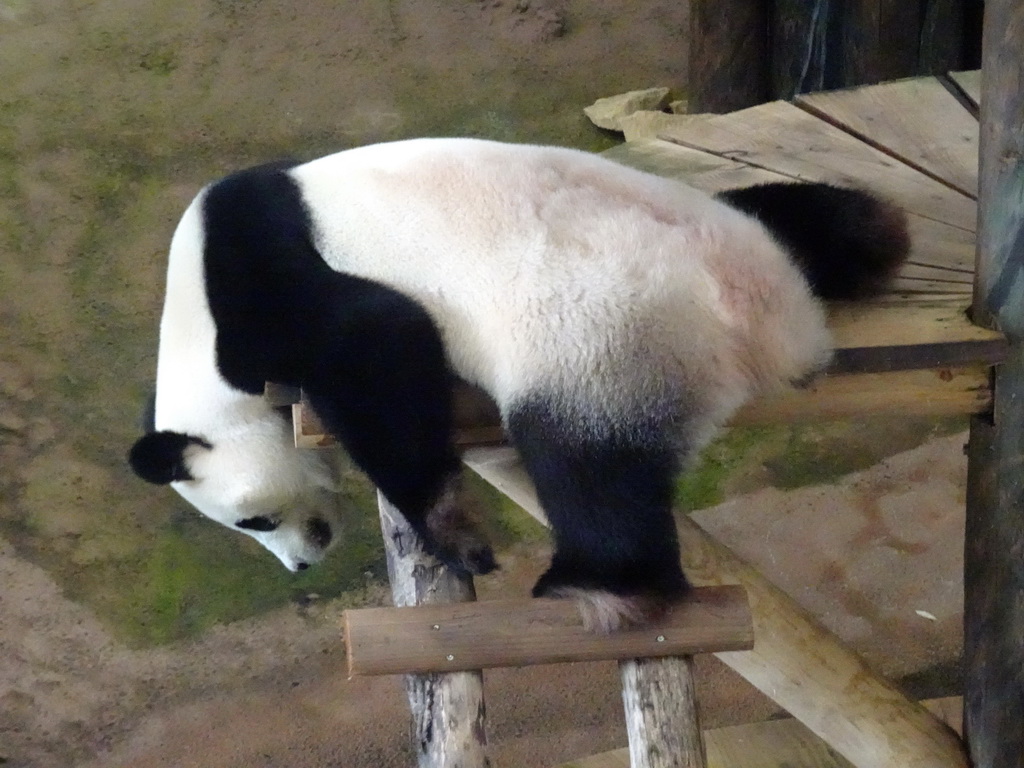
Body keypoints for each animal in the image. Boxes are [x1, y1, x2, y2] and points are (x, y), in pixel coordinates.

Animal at [125, 137, 905, 630]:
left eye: (251, 521)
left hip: (609, 332)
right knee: (806, 213)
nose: (302, 563)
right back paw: (876, 236)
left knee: (583, 457)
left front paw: (455, 534)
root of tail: (772, 313)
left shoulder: (263, 275)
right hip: (725, 222)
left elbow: (372, 340)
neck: (194, 332)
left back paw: (598, 585)